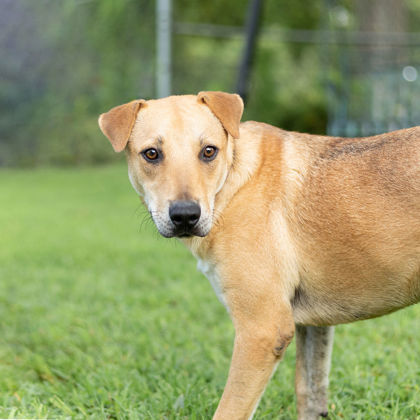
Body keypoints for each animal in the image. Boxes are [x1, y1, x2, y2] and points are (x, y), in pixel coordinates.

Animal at [99, 92, 420, 420]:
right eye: (151, 154)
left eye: (208, 151)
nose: (186, 216)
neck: (231, 183)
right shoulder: (313, 326)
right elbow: (310, 394)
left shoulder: (262, 331)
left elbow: (229, 410)